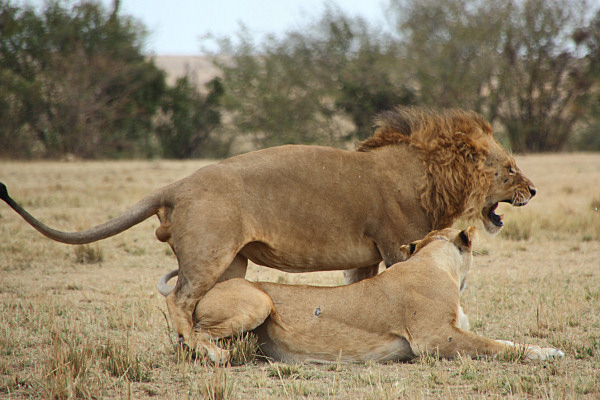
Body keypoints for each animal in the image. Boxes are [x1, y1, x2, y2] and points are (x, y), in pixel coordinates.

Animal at [0, 106, 536, 350]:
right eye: (509, 168)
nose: (532, 190)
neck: (431, 174)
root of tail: (177, 184)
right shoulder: (395, 243)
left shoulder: (365, 256)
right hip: (209, 254)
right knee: (179, 301)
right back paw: (199, 352)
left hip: (233, 263)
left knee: (195, 303)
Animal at [156, 228, 564, 362]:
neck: (434, 260)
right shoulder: (435, 338)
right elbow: (497, 346)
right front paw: (545, 354)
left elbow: (501, 339)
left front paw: (547, 349)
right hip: (259, 300)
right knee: (192, 332)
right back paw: (214, 355)